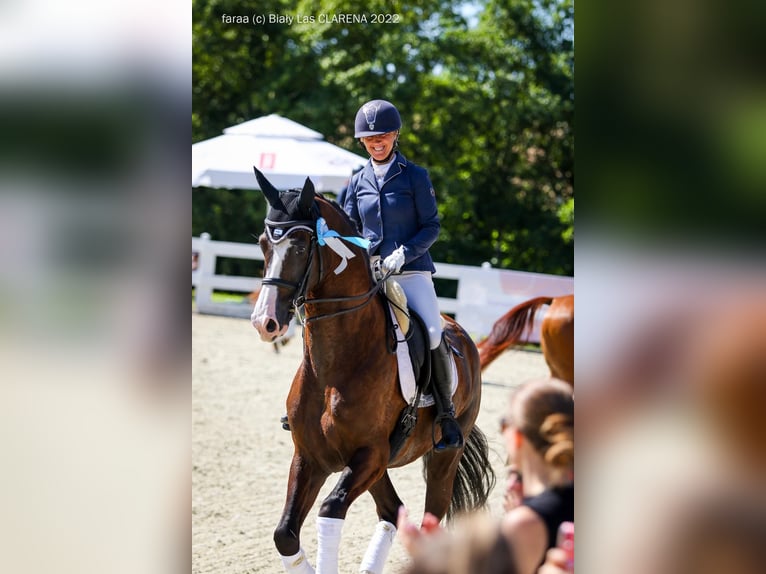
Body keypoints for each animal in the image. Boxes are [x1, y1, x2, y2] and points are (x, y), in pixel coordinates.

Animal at [249, 170, 496, 574]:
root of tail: (461, 333)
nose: (265, 322)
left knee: (427, 521)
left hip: (441, 458)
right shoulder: (311, 456)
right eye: (263, 244)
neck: (334, 367)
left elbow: (330, 509)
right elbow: (285, 533)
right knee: (393, 511)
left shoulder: (370, 454)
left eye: (300, 245)